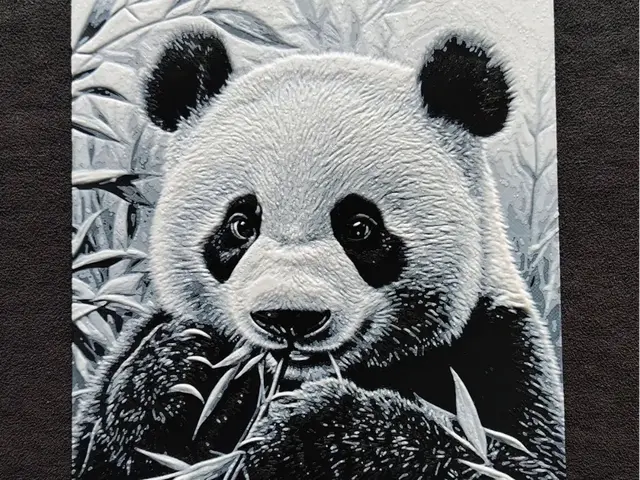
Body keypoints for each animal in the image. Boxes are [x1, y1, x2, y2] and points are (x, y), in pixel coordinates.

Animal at [72, 27, 566, 480]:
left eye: (360, 228)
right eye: (240, 225)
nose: (289, 317)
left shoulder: (498, 352)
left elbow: (505, 458)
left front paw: (315, 428)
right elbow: (104, 442)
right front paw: (185, 368)